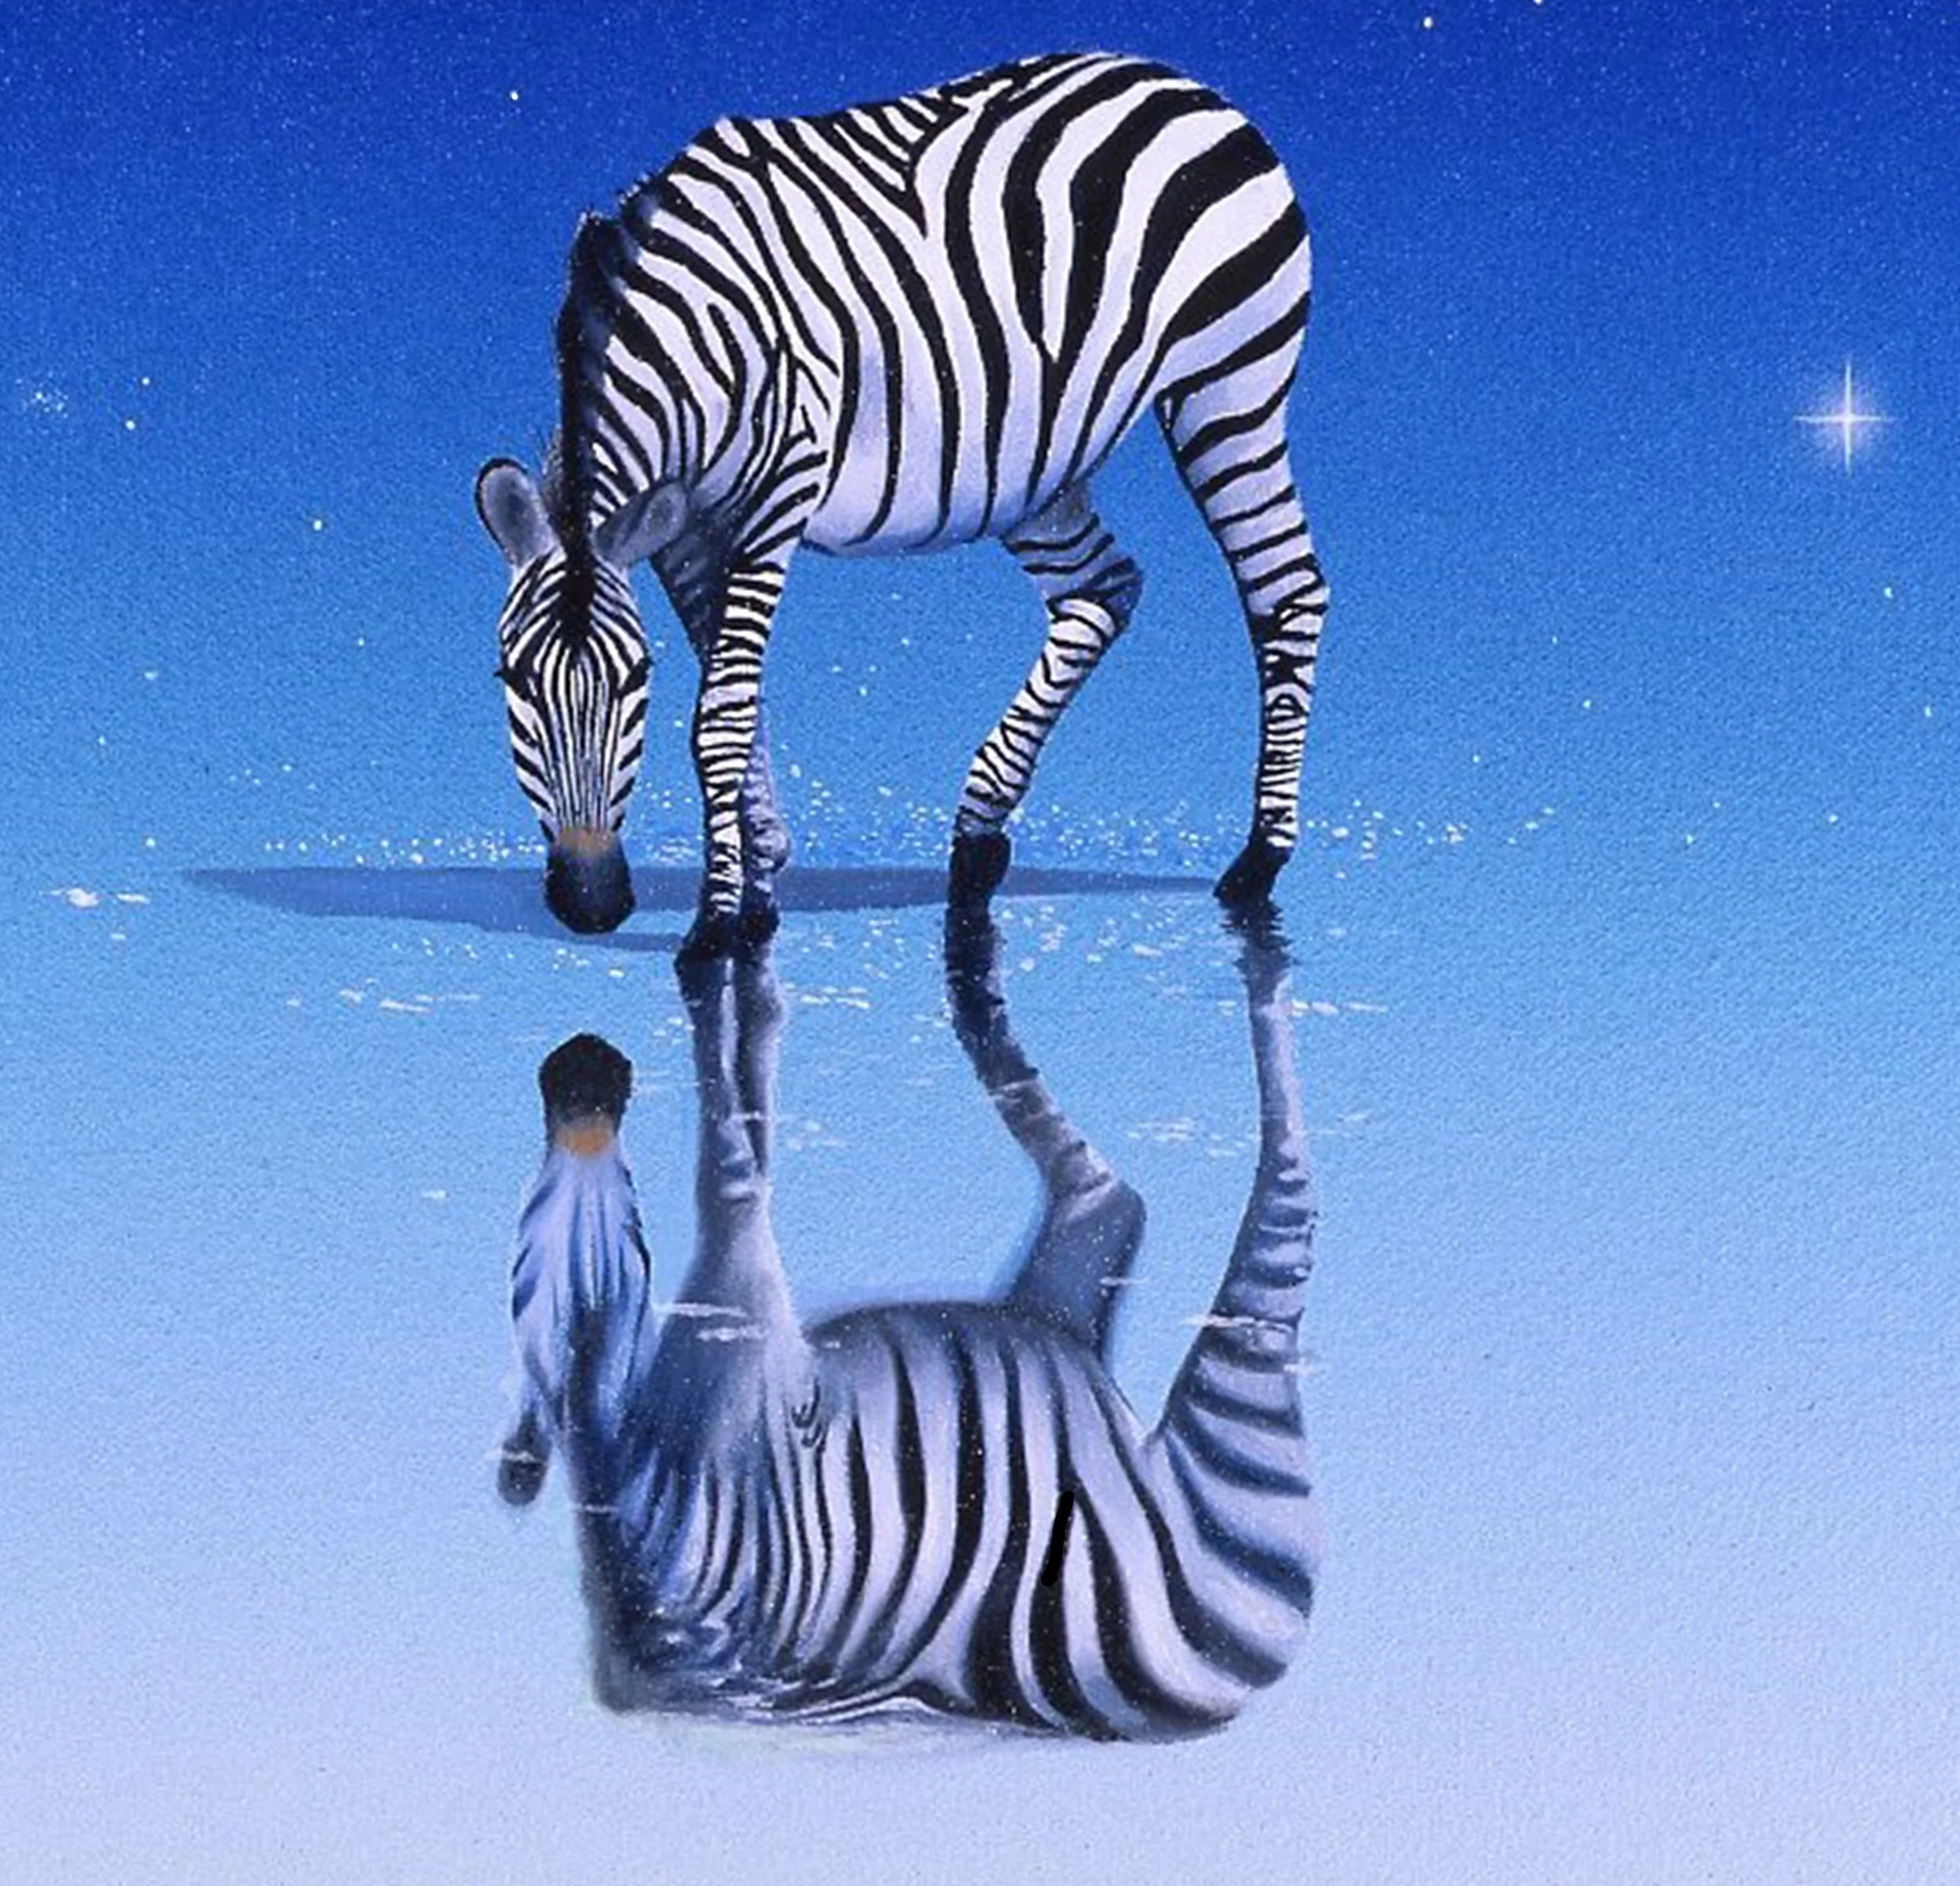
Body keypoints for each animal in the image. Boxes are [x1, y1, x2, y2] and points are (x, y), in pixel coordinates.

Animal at [475, 51, 1329, 946]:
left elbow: (720, 716)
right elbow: (735, 692)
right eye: (511, 678)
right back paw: (977, 838)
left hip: (1227, 387)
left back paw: (1259, 858)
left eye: (638, 676)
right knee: (1105, 588)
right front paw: (761, 881)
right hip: (1027, 466)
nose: (592, 902)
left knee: (1285, 590)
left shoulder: (777, 497)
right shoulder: (686, 530)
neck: (681, 334)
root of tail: (1187, 84)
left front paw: (715, 925)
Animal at [496, 909, 1320, 1739]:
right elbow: (737, 1135)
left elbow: (745, 1103)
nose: (582, 1065)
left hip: (1070, 1310)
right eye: (628, 1222)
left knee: (1113, 1189)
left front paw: (735, 916)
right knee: (1211, 1188)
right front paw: (729, 934)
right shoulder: (756, 1322)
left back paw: (980, 939)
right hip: (1218, 1371)